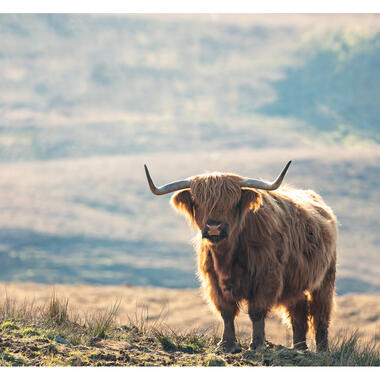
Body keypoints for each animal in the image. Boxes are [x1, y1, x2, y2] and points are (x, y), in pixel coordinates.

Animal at [144, 163, 336, 354]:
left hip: (325, 279)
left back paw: (322, 350)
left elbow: (256, 312)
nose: (214, 228)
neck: (227, 257)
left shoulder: (266, 278)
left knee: (320, 314)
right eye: (197, 203)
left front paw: (257, 345)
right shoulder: (214, 281)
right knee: (298, 312)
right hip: (295, 284)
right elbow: (226, 312)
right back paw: (299, 348)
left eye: (232, 203)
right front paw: (226, 344)